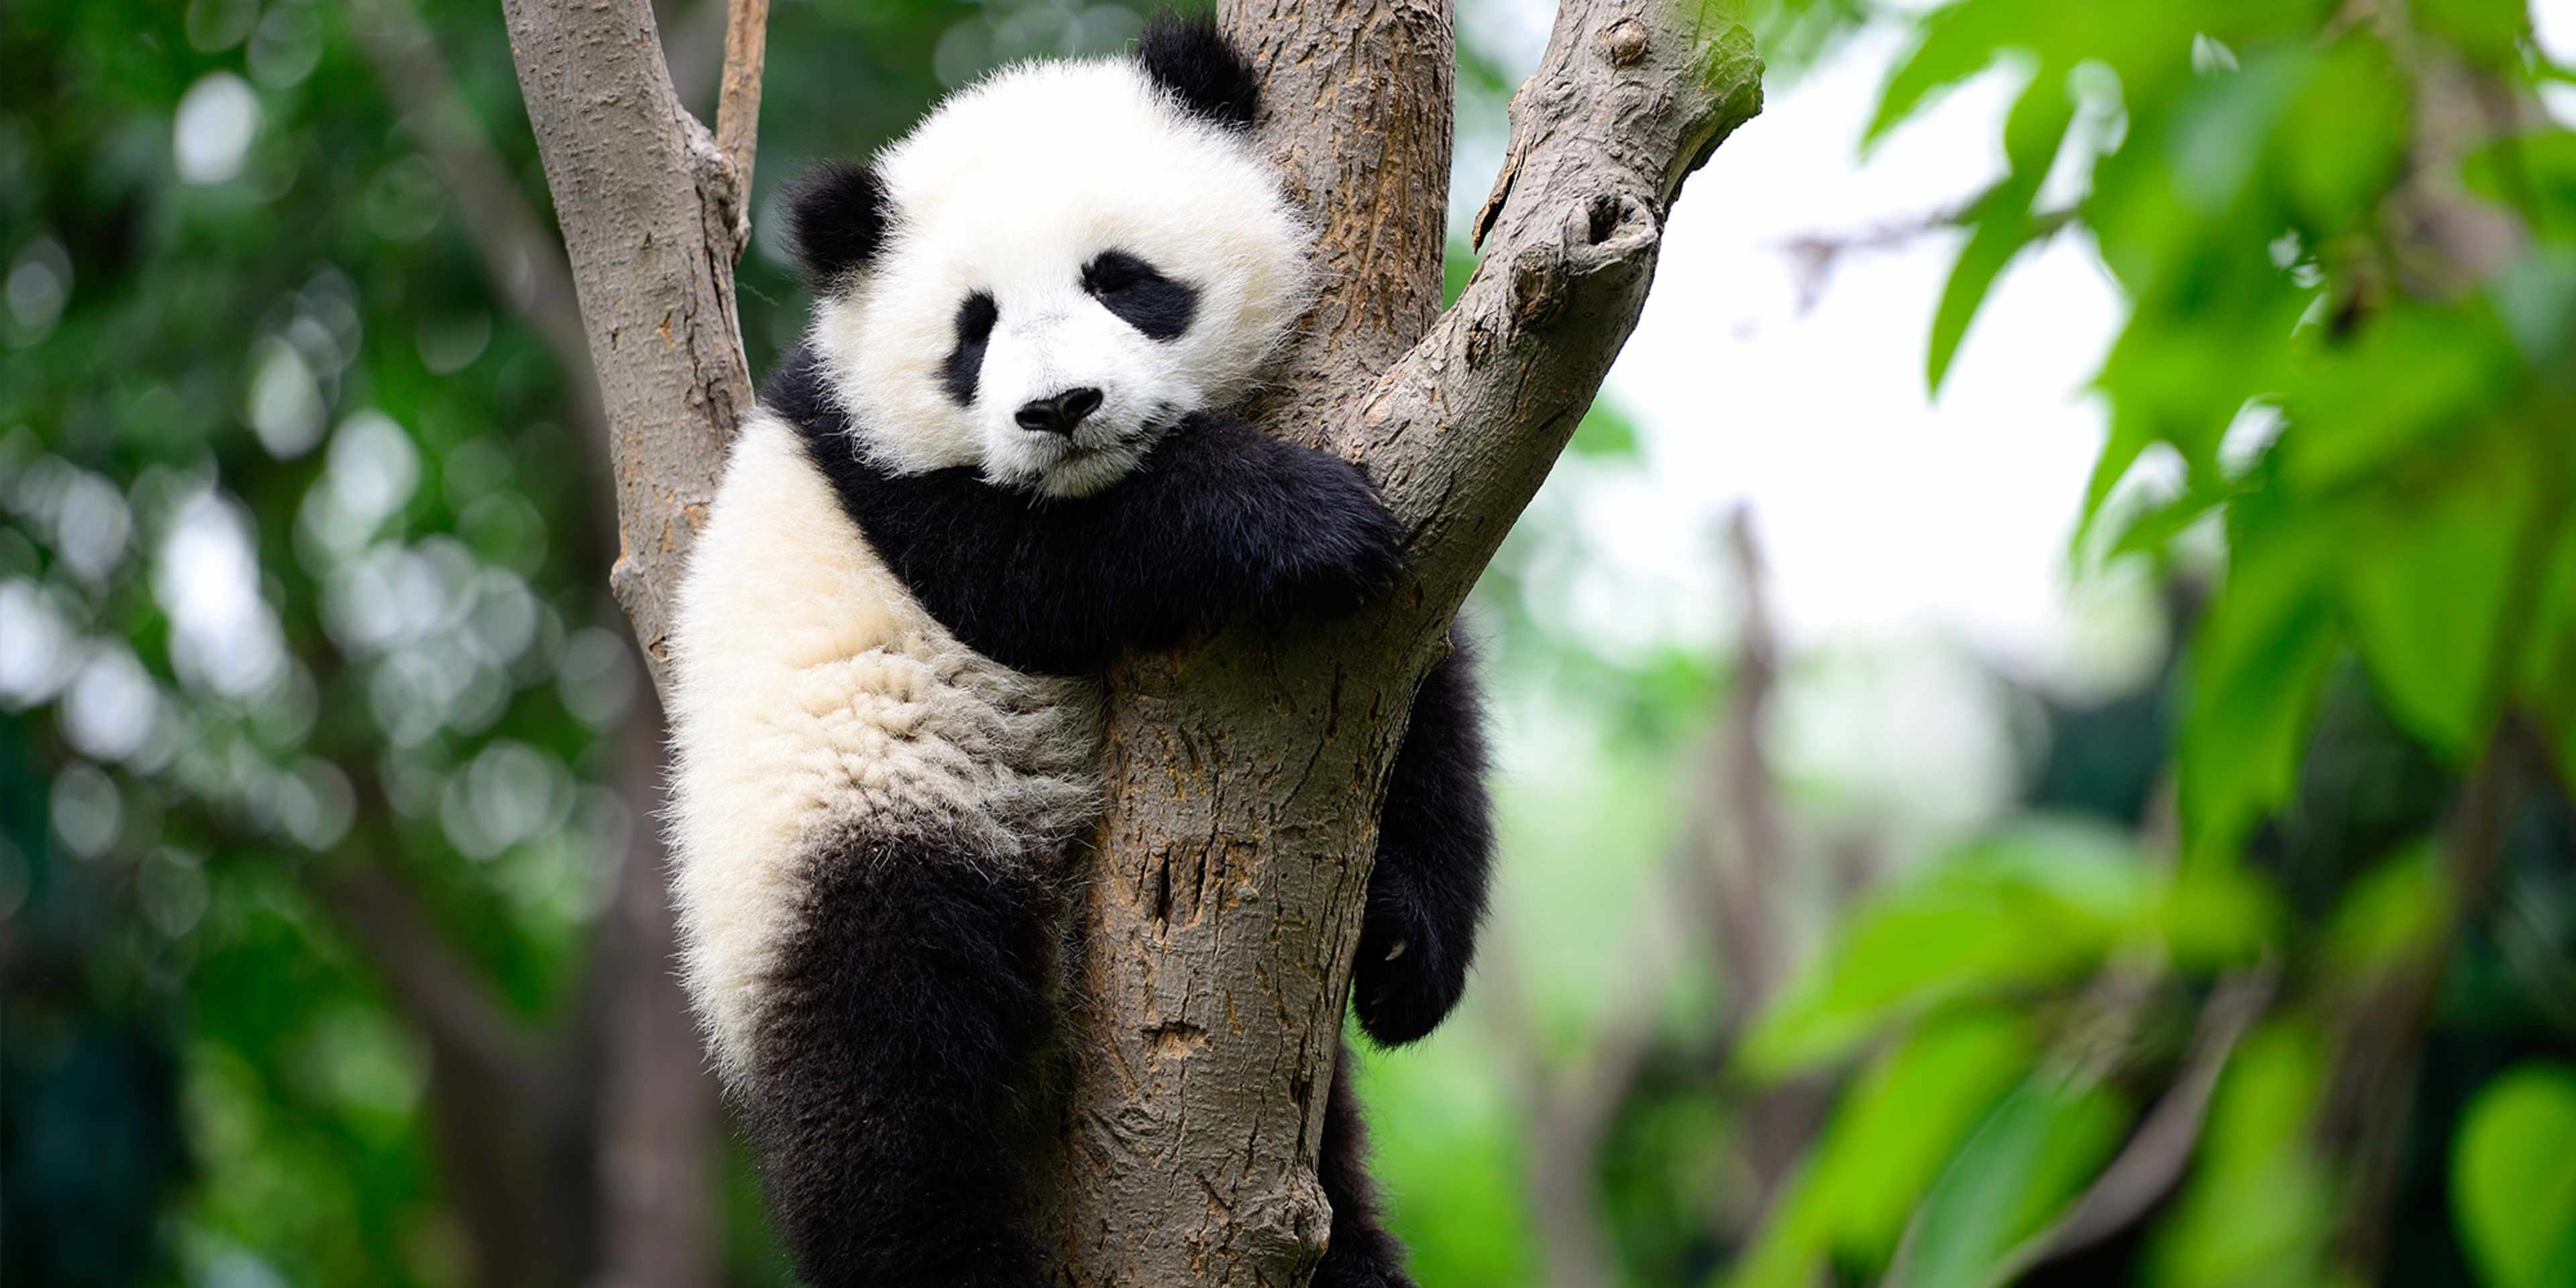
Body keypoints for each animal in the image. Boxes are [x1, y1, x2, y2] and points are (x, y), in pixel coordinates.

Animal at [665, 13, 1494, 1288]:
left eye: (1122, 279)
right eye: (974, 329)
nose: (1061, 409)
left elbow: (1419, 697)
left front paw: (1405, 950)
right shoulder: (887, 486)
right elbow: (1044, 574)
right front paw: (1295, 519)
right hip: (838, 830)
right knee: (887, 1074)